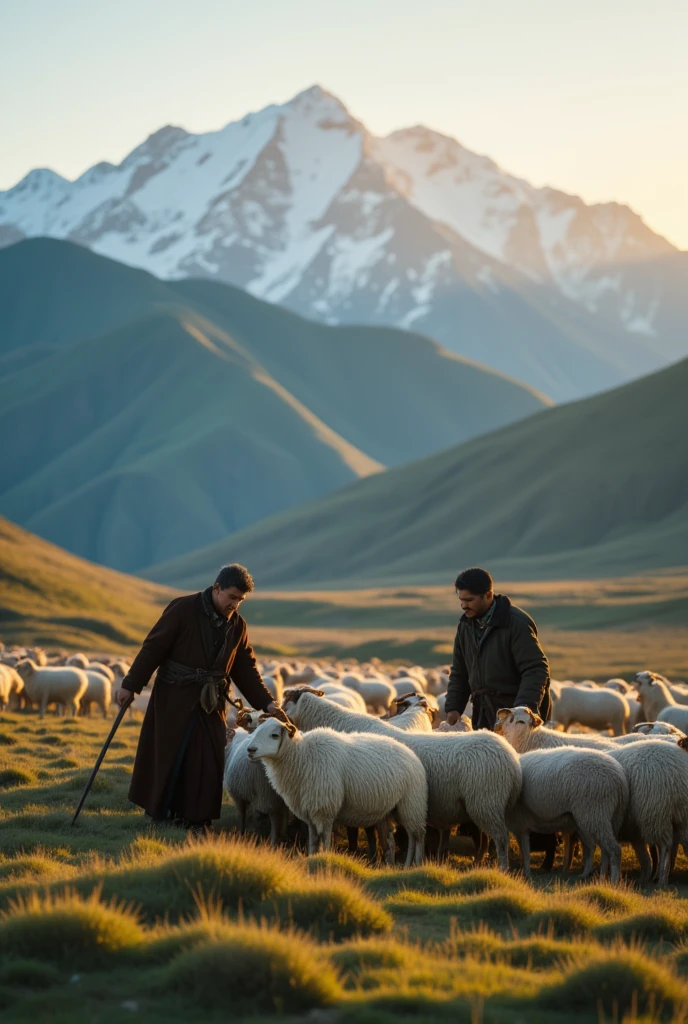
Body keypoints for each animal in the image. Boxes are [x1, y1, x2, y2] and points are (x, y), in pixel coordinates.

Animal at [244, 716, 427, 868]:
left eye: (274, 735)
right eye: (257, 731)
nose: (250, 750)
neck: (302, 756)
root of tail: (410, 753)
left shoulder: (324, 810)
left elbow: (325, 838)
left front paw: (325, 857)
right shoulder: (310, 812)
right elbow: (313, 839)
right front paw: (312, 857)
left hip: (412, 804)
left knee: (416, 837)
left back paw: (415, 864)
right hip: (387, 810)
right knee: (391, 841)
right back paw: (394, 865)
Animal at [282, 688, 518, 872]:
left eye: (287, 701)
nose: (281, 717)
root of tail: (510, 757)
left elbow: (378, 838)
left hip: (486, 802)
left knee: (499, 838)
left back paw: (501, 868)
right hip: (482, 805)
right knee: (485, 837)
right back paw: (480, 863)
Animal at [509, 749, 630, 884]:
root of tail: (619, 777)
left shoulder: (520, 825)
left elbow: (525, 852)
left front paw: (526, 873)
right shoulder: (521, 826)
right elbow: (524, 851)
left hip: (596, 814)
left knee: (614, 849)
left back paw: (613, 881)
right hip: (609, 817)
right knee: (603, 850)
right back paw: (599, 878)